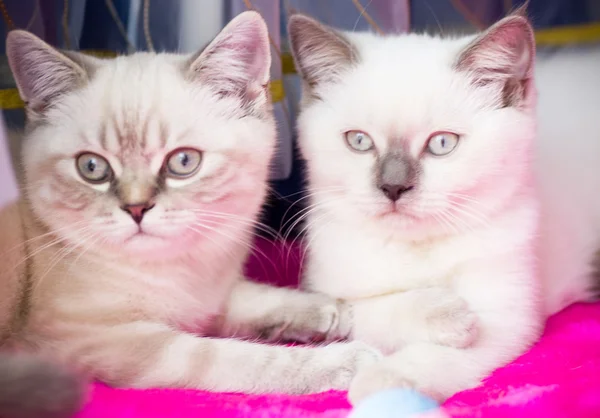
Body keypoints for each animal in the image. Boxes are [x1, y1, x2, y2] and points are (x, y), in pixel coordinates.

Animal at [288, 11, 596, 404]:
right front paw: (445, 314)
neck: (414, 250)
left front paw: (385, 382)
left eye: (442, 144)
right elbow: (362, 311)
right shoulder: (323, 291)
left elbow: (442, 354)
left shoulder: (504, 315)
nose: (393, 187)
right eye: (359, 141)